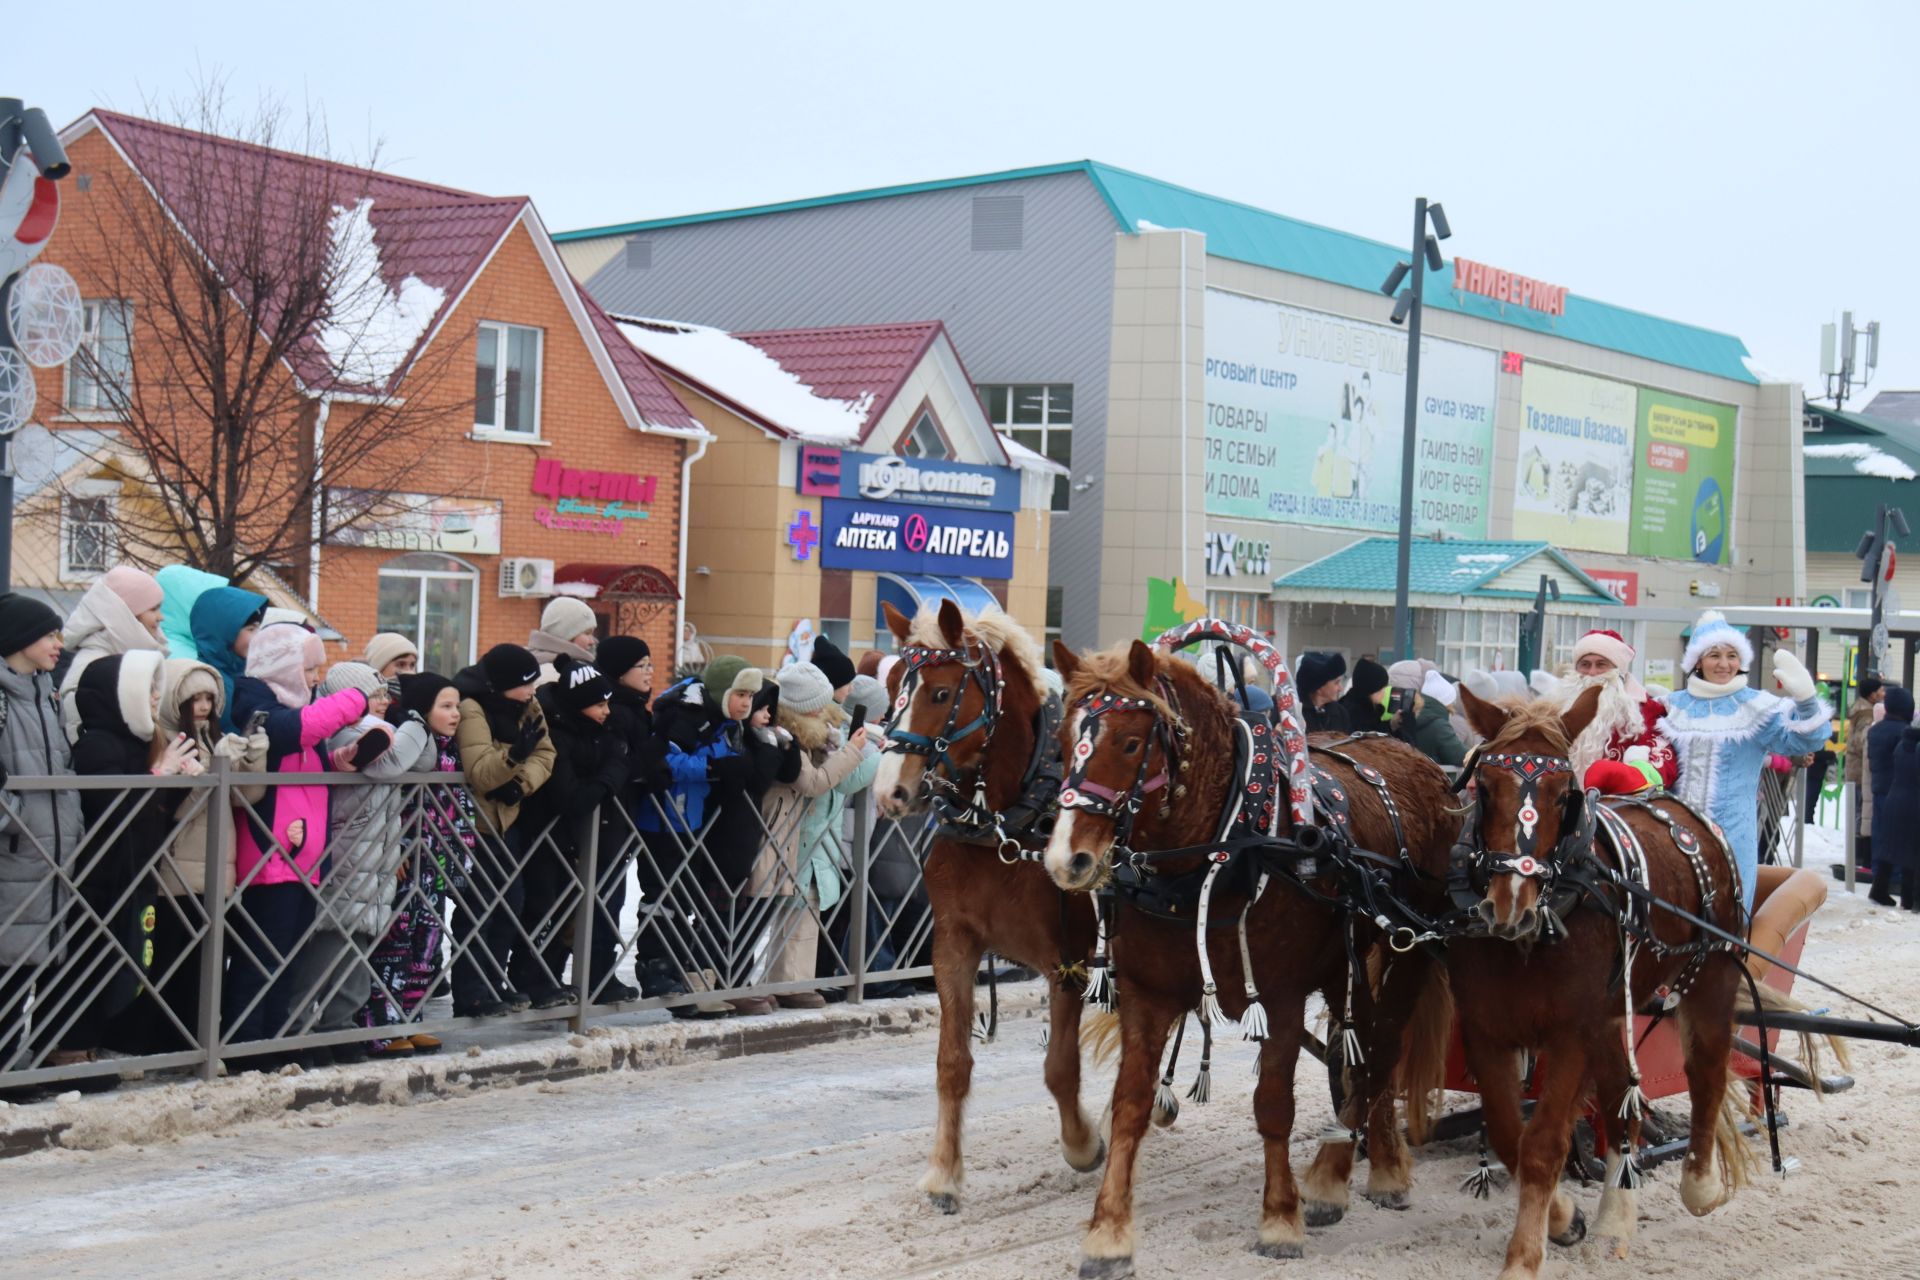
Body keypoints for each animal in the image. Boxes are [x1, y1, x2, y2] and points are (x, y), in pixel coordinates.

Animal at [871, 602, 1098, 1212]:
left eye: (942, 693)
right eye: (892, 687)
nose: (888, 793)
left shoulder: (1067, 958)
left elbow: (1060, 1067)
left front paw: (1083, 1144)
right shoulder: (953, 942)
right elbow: (953, 1063)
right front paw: (943, 1174)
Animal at [1052, 644, 1451, 1274]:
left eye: (1132, 744)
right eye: (1063, 740)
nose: (1068, 859)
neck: (1223, 850)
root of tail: (1418, 758)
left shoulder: (1282, 997)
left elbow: (1273, 1106)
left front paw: (1281, 1218)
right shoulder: (1148, 994)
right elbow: (1131, 1104)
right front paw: (1108, 1234)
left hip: (1408, 948)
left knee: (1383, 1051)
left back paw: (1334, 1178)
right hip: (1343, 965)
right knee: (1359, 1048)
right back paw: (1380, 1162)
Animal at [1451, 690, 1758, 1280]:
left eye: (1562, 793)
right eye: (1486, 786)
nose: (1510, 905)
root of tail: (1680, 807)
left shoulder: (1572, 1033)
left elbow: (1543, 1143)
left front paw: (1524, 1257)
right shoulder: (1487, 1031)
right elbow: (1508, 1134)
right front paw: (1564, 1220)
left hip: (1711, 976)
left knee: (1706, 1072)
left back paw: (1700, 1185)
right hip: (1613, 1015)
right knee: (1623, 1103)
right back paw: (1615, 1219)